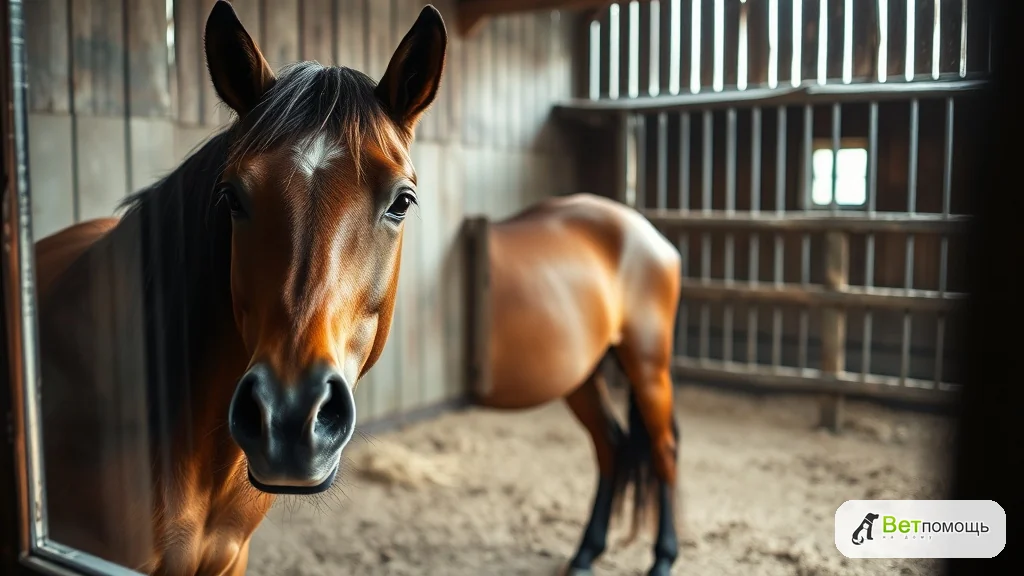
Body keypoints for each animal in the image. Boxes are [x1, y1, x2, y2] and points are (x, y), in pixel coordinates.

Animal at [474, 193, 683, 576]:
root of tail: (652, 236)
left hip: (648, 367)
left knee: (663, 450)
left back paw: (663, 557)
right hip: (583, 378)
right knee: (611, 444)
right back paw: (586, 552)